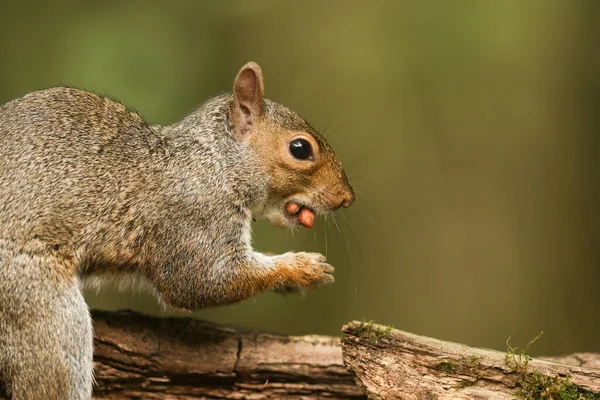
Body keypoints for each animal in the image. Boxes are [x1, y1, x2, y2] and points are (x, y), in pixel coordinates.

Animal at [0, 61, 354, 396]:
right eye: (300, 149)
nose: (347, 198)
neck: (213, 163)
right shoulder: (193, 214)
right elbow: (201, 281)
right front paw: (302, 268)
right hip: (40, 310)